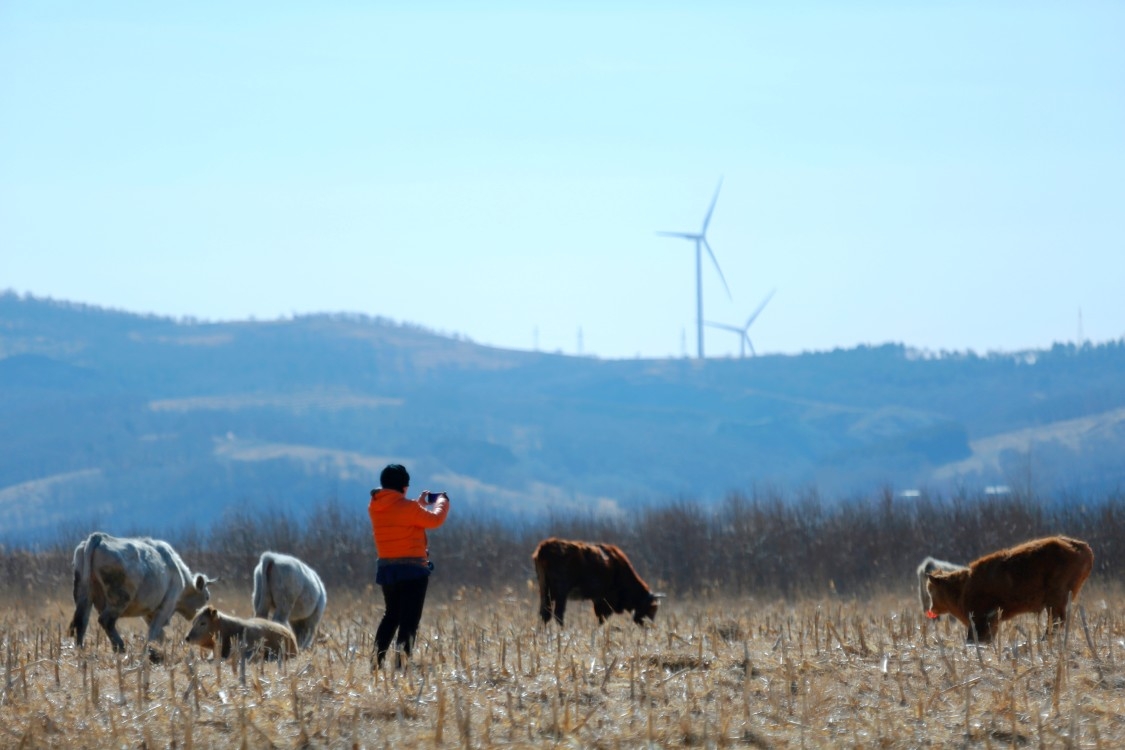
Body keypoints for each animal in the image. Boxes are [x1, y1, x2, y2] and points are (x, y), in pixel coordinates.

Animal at [69, 530, 214, 652]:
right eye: (207, 597)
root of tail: (99, 537)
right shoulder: (166, 607)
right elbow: (153, 632)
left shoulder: (148, 612)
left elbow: (159, 634)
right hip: (120, 598)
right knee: (105, 620)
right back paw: (120, 647)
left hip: (83, 595)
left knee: (82, 622)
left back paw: (80, 650)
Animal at [533, 537, 661, 625]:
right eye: (651, 609)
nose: (649, 626)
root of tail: (544, 547)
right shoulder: (605, 599)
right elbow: (602, 618)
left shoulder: (598, 599)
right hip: (561, 592)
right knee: (558, 614)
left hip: (544, 590)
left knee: (544, 614)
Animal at [922, 532, 1089, 647]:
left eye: (931, 591)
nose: (932, 608)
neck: (963, 586)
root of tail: (1081, 547)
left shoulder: (981, 618)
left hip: (1056, 599)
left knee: (1056, 622)